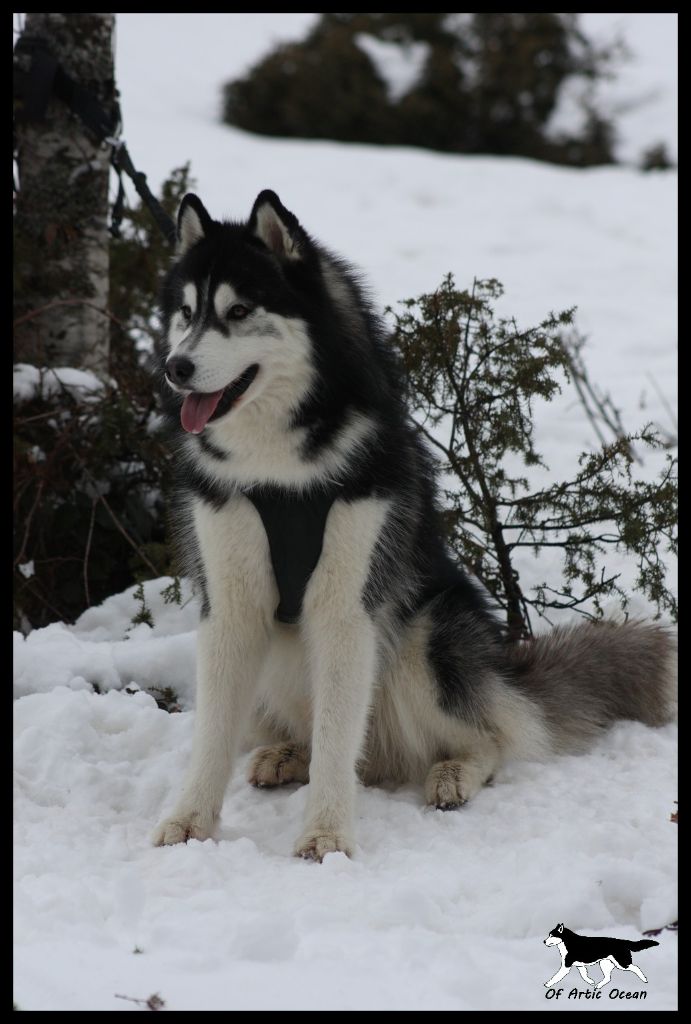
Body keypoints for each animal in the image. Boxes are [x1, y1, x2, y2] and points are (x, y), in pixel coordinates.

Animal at [152, 189, 675, 861]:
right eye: (187, 312)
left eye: (239, 310)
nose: (176, 367)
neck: (279, 471)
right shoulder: (231, 603)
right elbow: (214, 734)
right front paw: (190, 820)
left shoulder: (347, 607)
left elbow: (339, 738)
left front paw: (326, 835)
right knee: (317, 735)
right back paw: (288, 753)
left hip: (428, 636)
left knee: (488, 736)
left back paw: (453, 771)